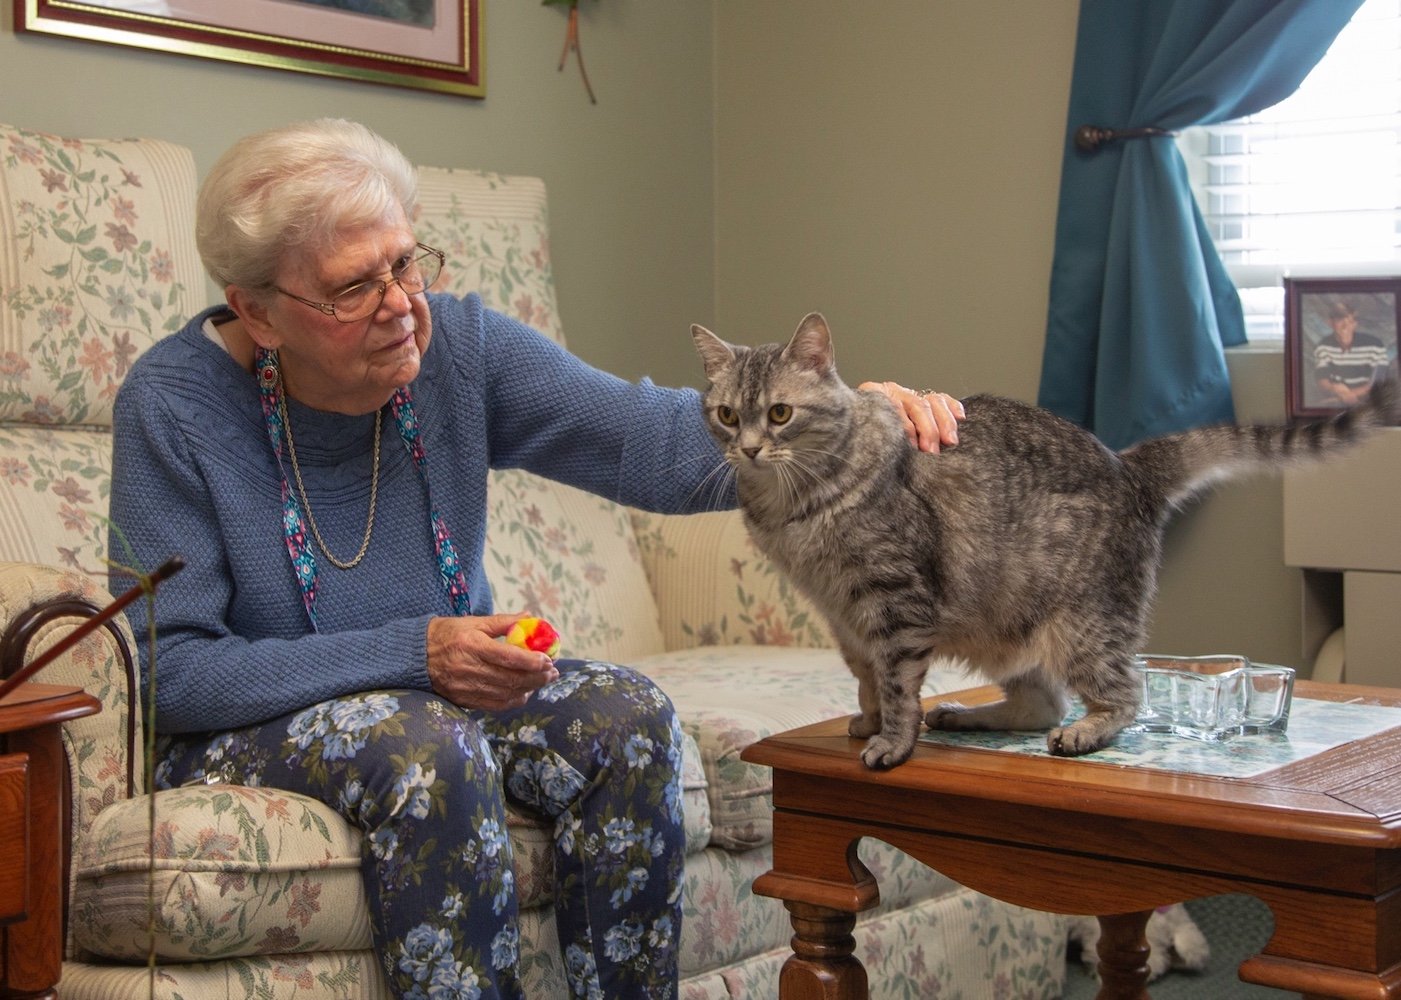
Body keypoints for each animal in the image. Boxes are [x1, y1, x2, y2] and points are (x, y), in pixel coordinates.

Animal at [692, 309, 1401, 761]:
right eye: (726, 414)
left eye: (780, 413)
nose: (748, 449)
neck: (792, 510)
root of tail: (1128, 464)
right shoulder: (844, 619)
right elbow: (869, 679)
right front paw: (869, 721)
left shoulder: (894, 603)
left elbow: (896, 684)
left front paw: (892, 739)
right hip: (1011, 630)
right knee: (1041, 703)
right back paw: (965, 715)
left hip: (1084, 626)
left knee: (1122, 692)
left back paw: (1084, 732)